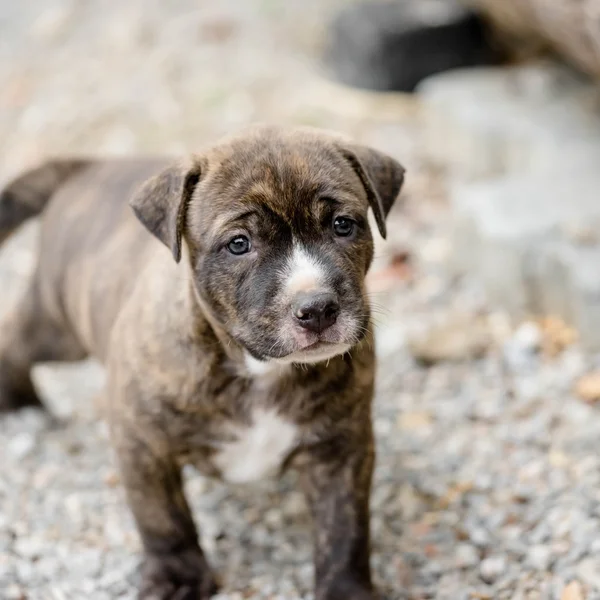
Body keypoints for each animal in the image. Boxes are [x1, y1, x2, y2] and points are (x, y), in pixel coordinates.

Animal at [0, 124, 406, 596]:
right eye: (239, 244)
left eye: (343, 225)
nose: (318, 307)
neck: (257, 369)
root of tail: (87, 166)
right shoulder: (141, 442)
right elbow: (163, 517)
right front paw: (177, 574)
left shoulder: (342, 449)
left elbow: (344, 527)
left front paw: (344, 588)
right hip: (59, 327)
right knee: (16, 338)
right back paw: (18, 402)